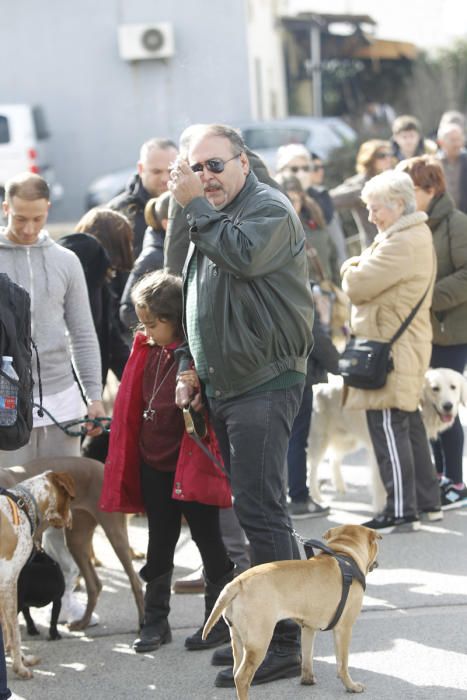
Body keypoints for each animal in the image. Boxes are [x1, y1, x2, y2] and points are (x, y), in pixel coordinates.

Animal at [0, 456, 144, 632]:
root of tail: (103, 466)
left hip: (114, 532)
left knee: (135, 582)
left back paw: (142, 624)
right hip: (77, 539)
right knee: (94, 585)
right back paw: (83, 622)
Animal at [0, 470, 75, 680]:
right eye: (71, 499)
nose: (71, 520)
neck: (25, 505)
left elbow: (7, 627)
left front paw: (20, 659)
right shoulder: (9, 582)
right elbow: (14, 631)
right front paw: (20, 666)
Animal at [203, 524, 382, 700]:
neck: (343, 554)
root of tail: (237, 582)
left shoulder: (308, 628)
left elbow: (307, 657)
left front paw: (307, 679)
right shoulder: (344, 629)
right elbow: (342, 663)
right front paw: (351, 686)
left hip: (237, 638)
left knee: (236, 672)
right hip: (259, 641)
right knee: (242, 677)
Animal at [308, 370, 466, 512]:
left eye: (453, 387)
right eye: (435, 388)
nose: (448, 406)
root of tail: (318, 386)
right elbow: (383, 483)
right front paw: (382, 506)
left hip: (347, 440)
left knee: (334, 458)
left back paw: (339, 487)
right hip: (320, 439)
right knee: (312, 468)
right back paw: (315, 497)